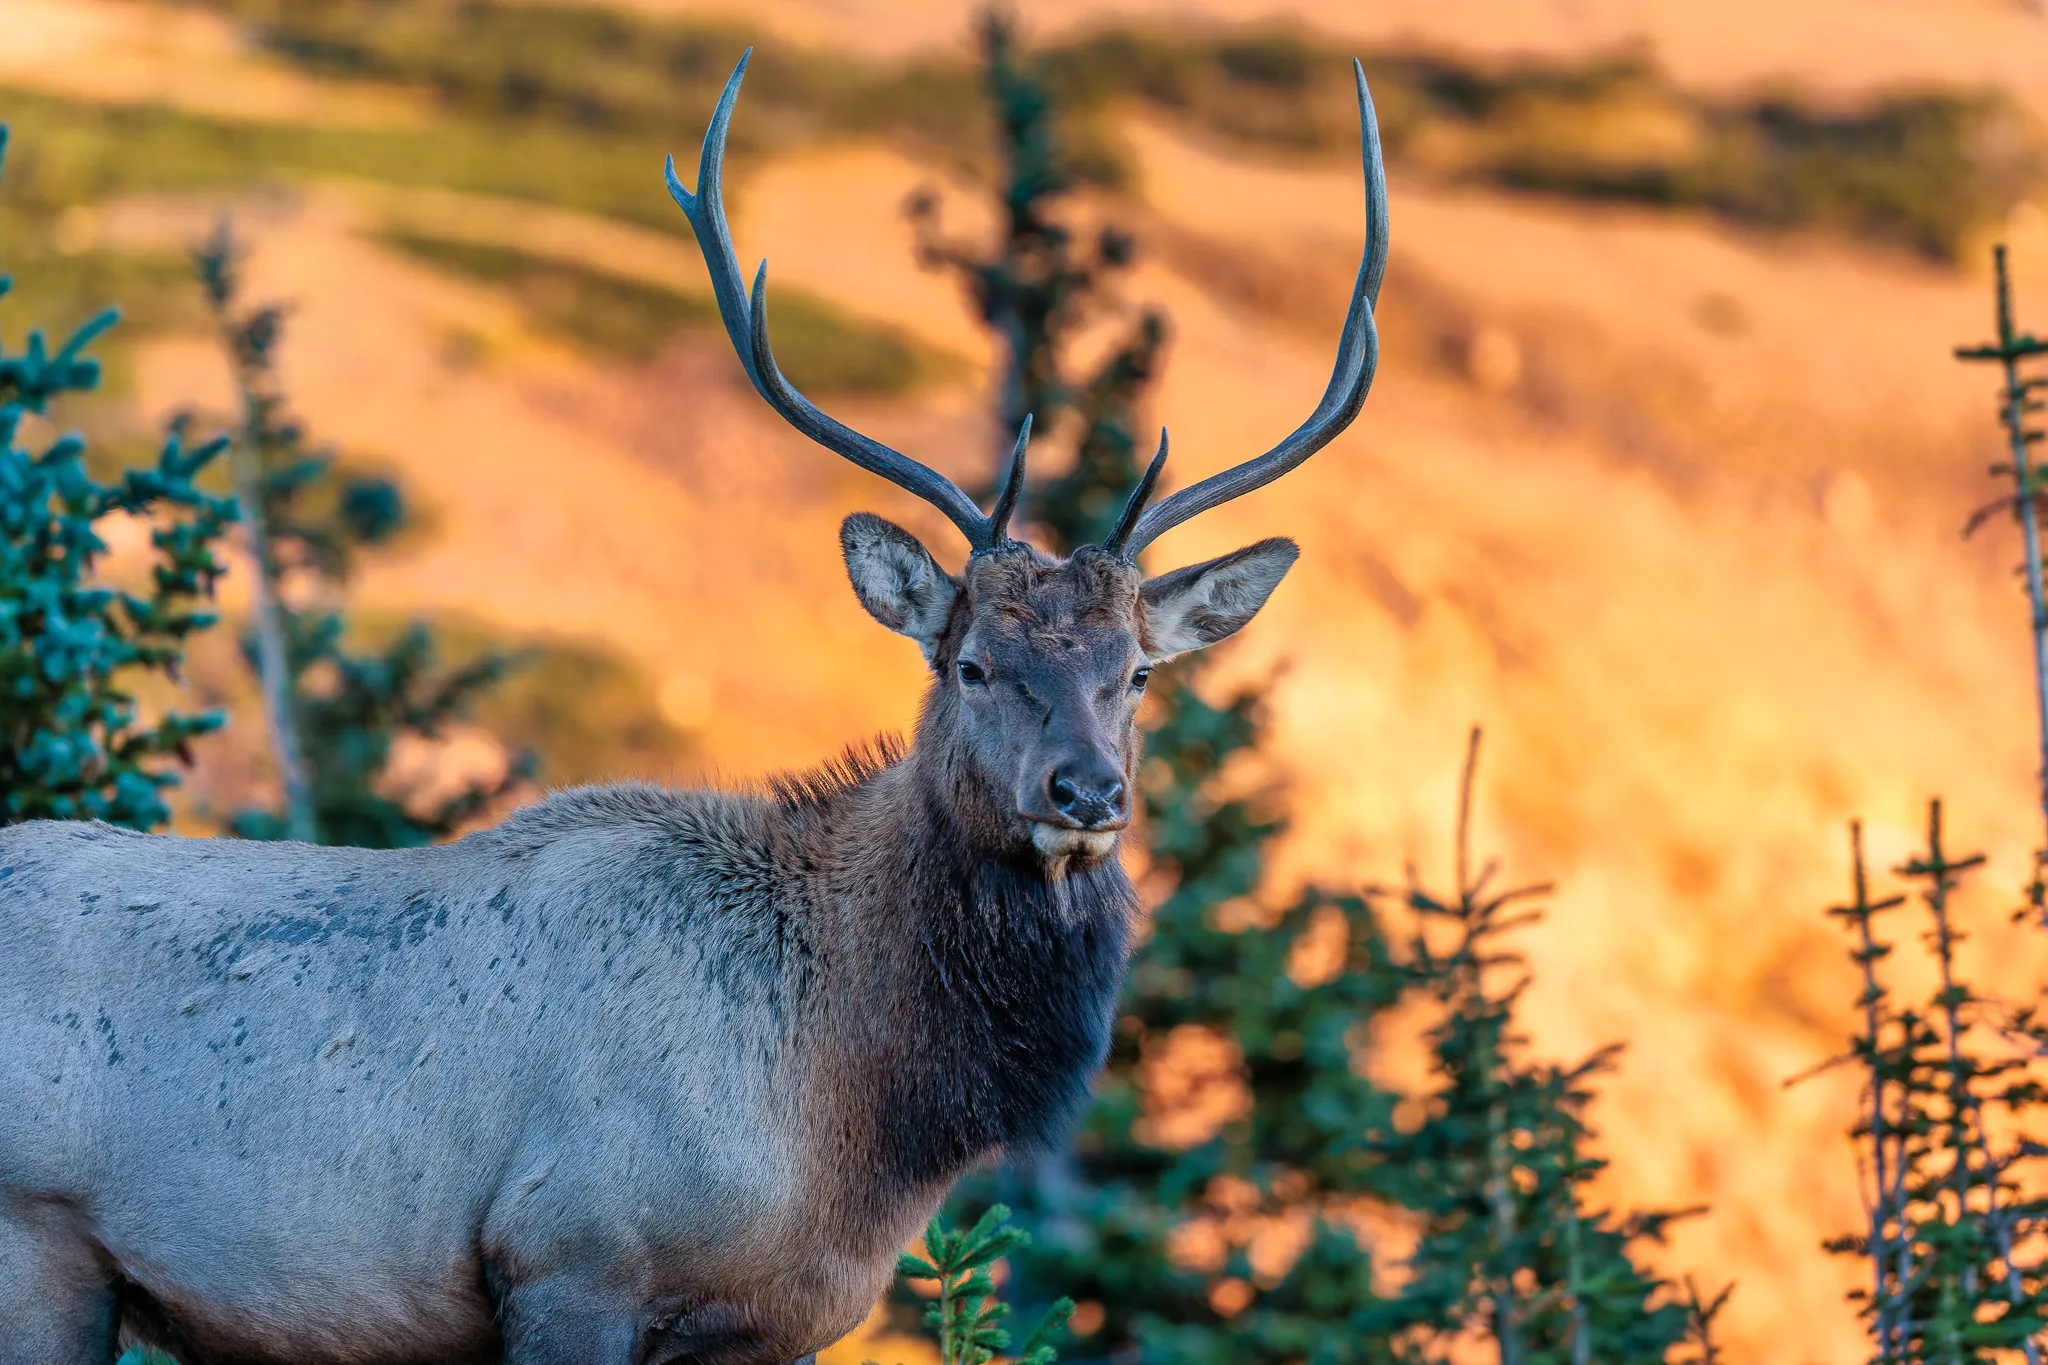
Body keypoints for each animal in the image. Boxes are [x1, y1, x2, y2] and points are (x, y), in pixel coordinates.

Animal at [0, 49, 1386, 1365]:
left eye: (1137, 672)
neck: (849, 1127)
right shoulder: (572, 1255)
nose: (1085, 791)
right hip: (38, 1243)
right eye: (971, 664)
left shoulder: (772, 1325)